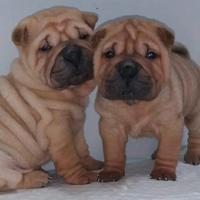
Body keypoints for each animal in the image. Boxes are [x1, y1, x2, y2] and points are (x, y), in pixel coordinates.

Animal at [0, 6, 101, 191]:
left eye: (83, 36)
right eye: (45, 47)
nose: (72, 53)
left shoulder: (76, 127)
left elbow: (82, 149)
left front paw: (93, 164)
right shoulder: (58, 128)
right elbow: (69, 156)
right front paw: (81, 177)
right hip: (4, 159)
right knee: (13, 178)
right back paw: (37, 177)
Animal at [93, 16, 200, 182]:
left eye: (151, 55)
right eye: (109, 54)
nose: (127, 68)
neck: (135, 104)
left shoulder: (170, 124)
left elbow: (167, 150)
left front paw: (163, 172)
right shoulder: (111, 126)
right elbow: (113, 152)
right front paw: (111, 172)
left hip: (194, 114)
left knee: (195, 135)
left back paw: (194, 155)